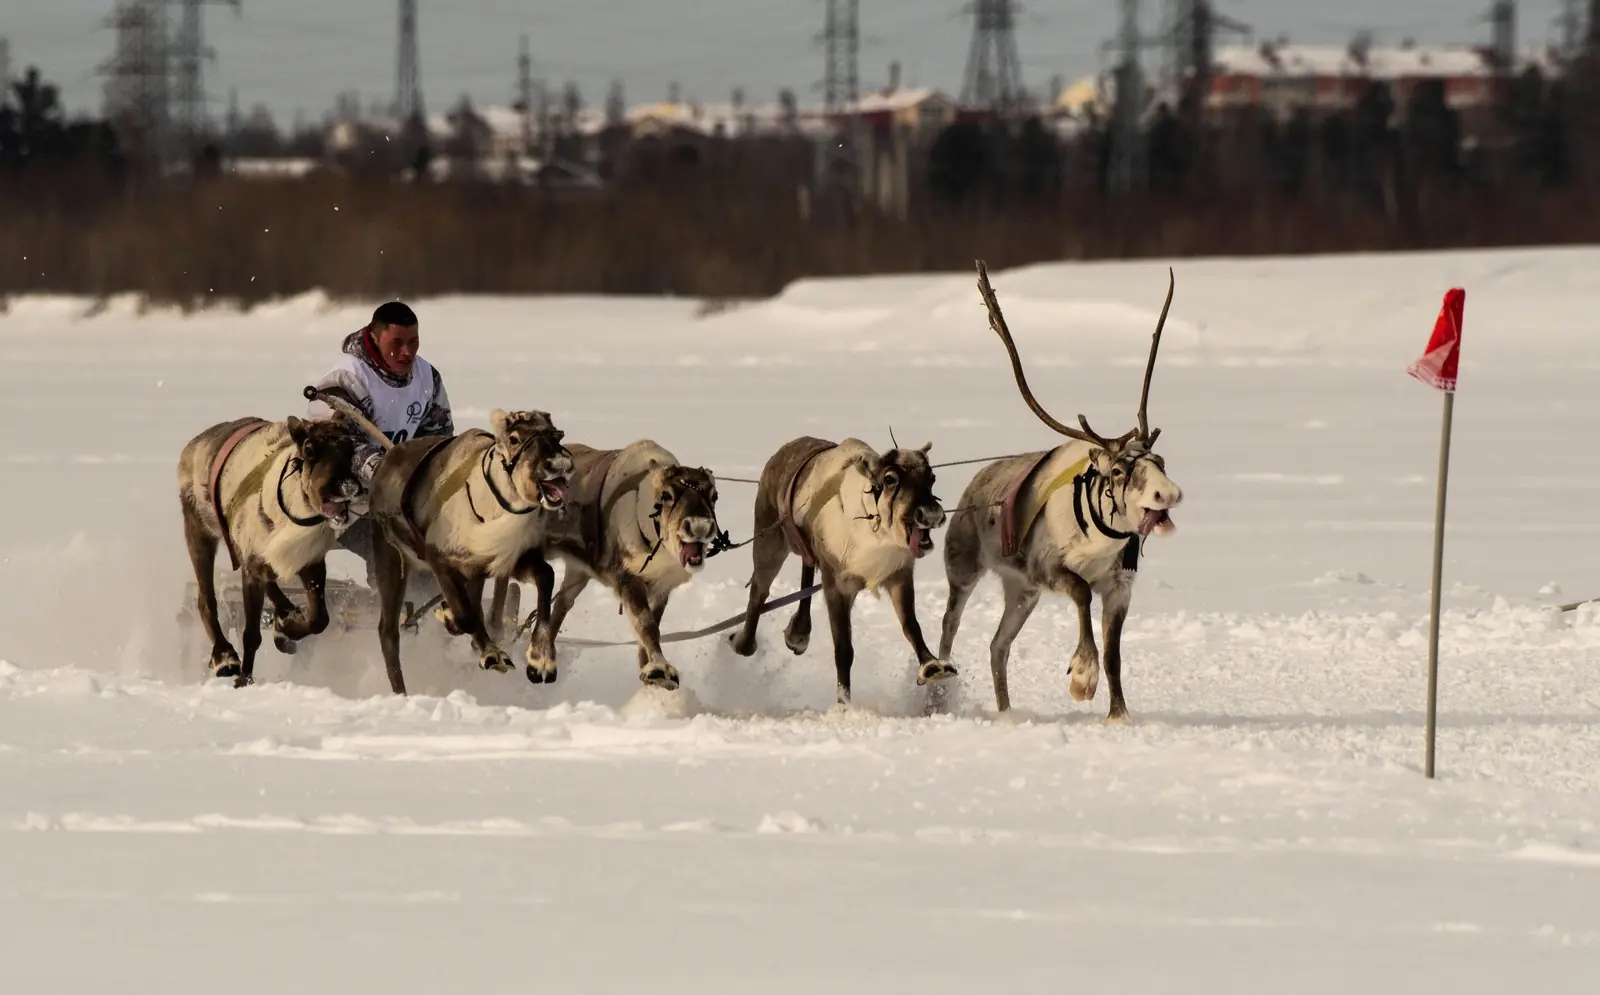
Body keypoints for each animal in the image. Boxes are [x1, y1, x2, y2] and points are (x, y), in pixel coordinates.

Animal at [938, 261, 1183, 722]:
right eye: (1119, 470)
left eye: (1160, 462)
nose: (1169, 494)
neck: (1099, 535)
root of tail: (974, 484)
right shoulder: (1048, 567)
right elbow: (1083, 595)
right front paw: (1081, 679)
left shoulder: (1119, 585)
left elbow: (1115, 654)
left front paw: (1119, 715)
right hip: (965, 567)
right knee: (949, 626)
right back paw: (936, 688)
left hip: (1022, 591)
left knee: (998, 645)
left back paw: (1006, 712)